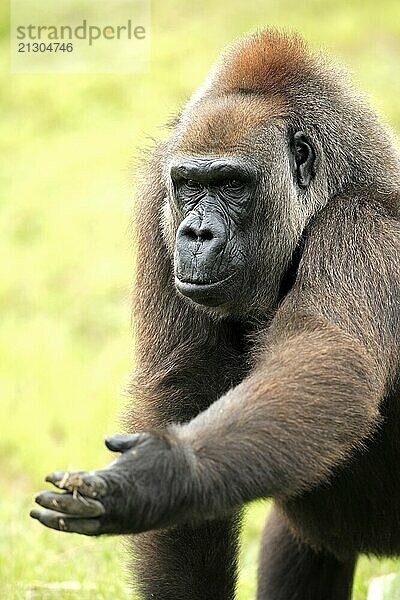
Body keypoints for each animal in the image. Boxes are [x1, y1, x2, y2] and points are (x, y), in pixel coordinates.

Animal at [30, 31, 400, 600]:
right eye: (188, 184)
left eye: (231, 184)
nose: (196, 233)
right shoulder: (157, 208)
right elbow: (184, 388)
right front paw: (164, 493)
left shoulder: (363, 226)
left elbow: (328, 361)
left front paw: (170, 474)